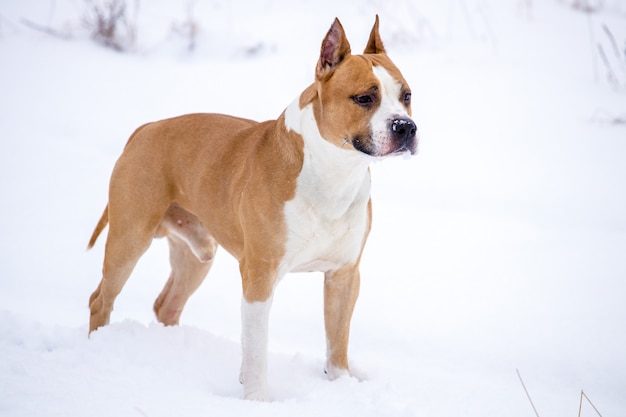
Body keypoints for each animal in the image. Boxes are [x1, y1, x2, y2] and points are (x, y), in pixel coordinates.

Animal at [86, 15, 414, 400]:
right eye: (364, 98)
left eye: (407, 96)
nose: (406, 127)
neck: (332, 171)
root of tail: (145, 129)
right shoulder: (260, 276)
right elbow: (257, 349)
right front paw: (257, 399)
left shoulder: (344, 275)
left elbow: (337, 342)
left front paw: (340, 384)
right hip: (129, 238)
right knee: (100, 299)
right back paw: (97, 348)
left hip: (197, 252)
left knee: (167, 304)